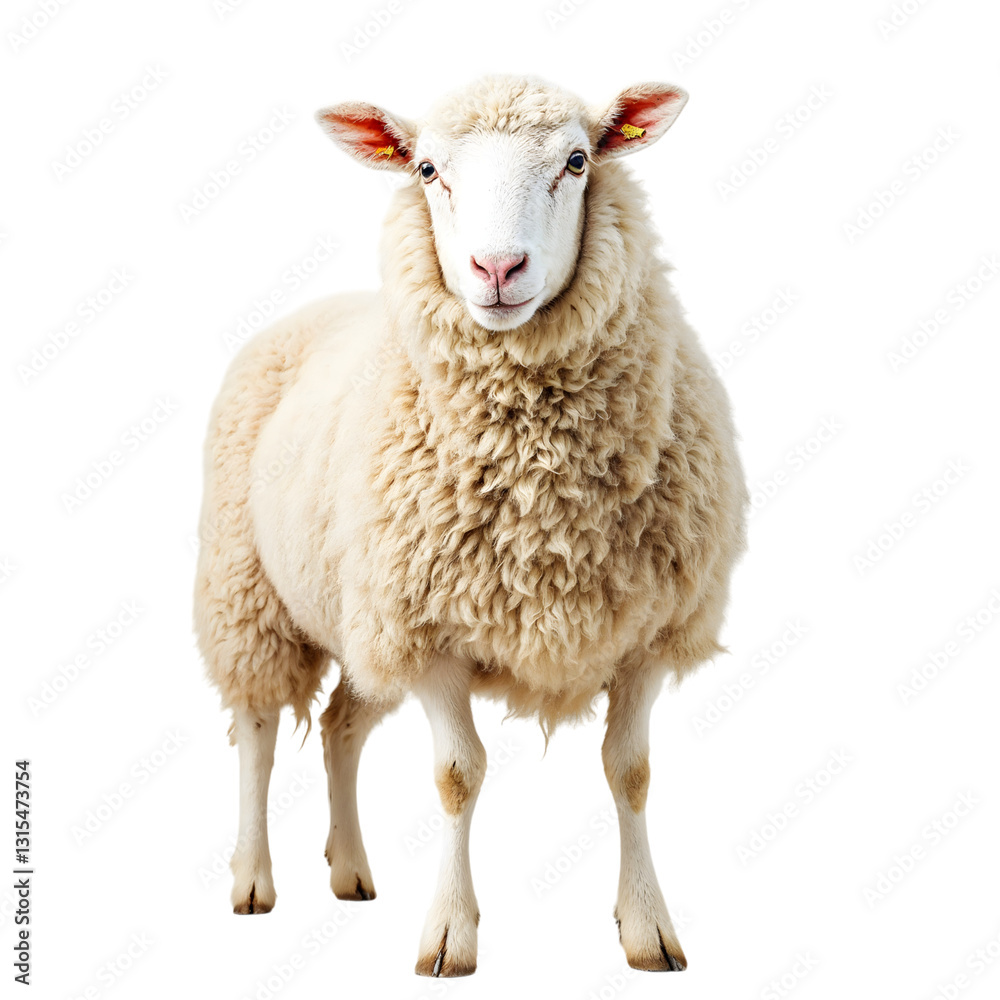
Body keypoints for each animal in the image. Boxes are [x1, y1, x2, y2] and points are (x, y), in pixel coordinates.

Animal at [194, 74, 747, 977]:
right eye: (426, 169)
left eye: (577, 160)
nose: (497, 268)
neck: (539, 492)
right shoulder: (431, 632)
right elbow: (458, 775)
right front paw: (449, 936)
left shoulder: (646, 631)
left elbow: (629, 772)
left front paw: (647, 929)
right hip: (246, 594)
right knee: (257, 732)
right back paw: (251, 880)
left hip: (361, 618)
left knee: (342, 726)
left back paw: (351, 872)